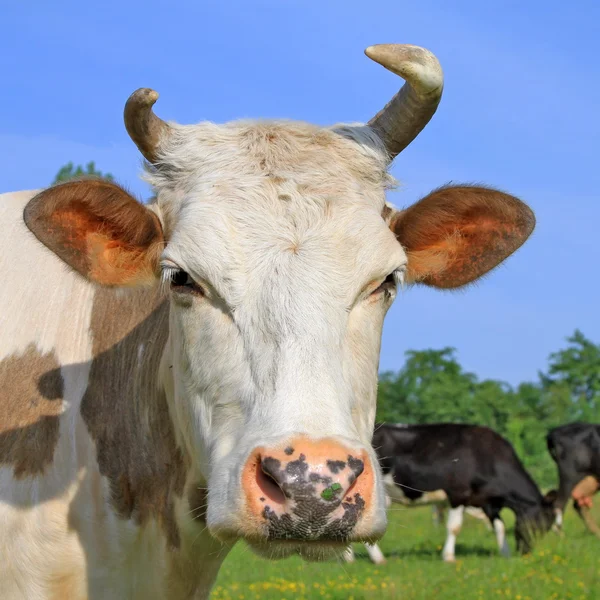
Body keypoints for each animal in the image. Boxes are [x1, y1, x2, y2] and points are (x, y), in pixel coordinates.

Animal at [350, 422, 556, 564]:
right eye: (542, 524)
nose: (526, 552)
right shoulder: (458, 494)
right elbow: (454, 527)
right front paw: (449, 557)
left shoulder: (487, 501)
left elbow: (500, 526)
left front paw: (505, 553)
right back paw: (377, 559)